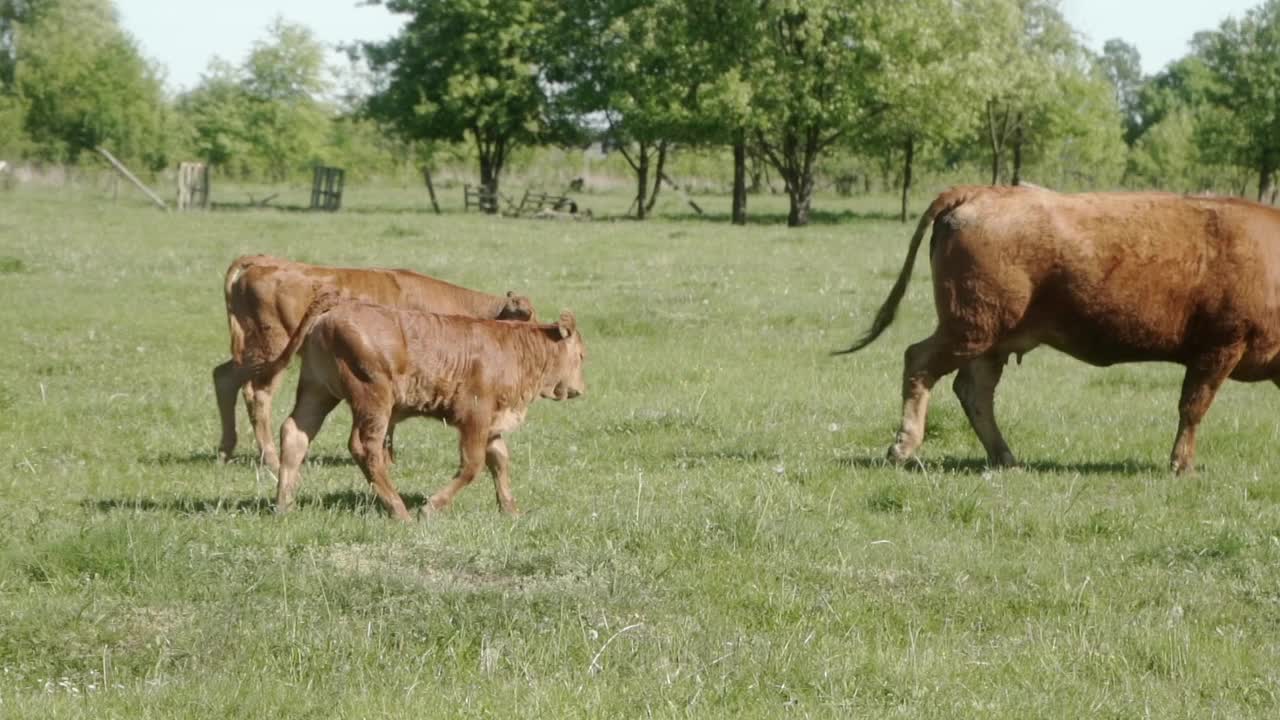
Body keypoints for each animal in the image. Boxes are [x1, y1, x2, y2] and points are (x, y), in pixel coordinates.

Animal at [212, 254, 532, 468]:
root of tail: (260, 261)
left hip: (252, 353)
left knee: (224, 377)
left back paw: (226, 450)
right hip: (272, 350)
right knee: (257, 394)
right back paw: (271, 459)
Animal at [257, 294, 586, 517]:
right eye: (582, 355)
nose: (580, 389)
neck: (515, 349)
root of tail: (339, 306)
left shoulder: (493, 423)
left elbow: (499, 461)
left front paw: (510, 510)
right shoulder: (475, 417)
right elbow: (473, 465)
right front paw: (431, 508)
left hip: (317, 391)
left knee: (295, 433)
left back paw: (284, 504)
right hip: (372, 398)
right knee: (365, 447)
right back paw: (399, 510)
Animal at [839, 184, 1280, 471]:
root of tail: (982, 191)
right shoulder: (1219, 347)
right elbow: (1192, 407)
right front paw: (1180, 464)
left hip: (990, 338)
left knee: (973, 390)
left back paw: (1004, 457)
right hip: (970, 327)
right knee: (920, 362)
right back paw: (904, 446)